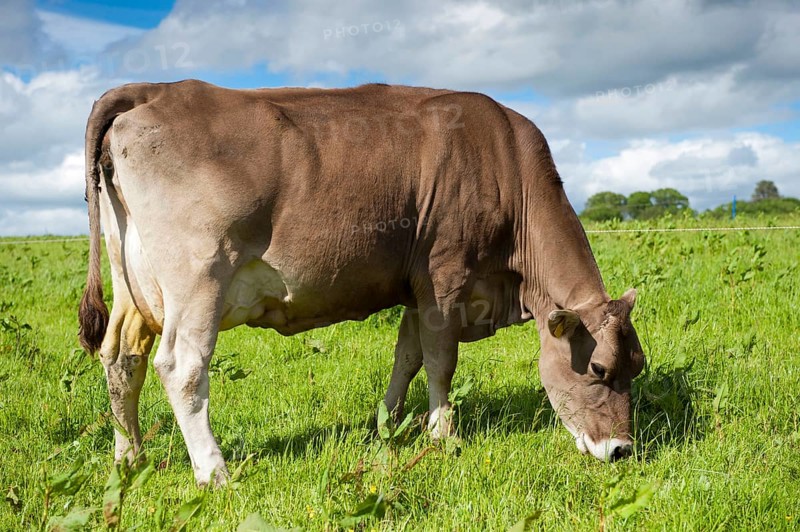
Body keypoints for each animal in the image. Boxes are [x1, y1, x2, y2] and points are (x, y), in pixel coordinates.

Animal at [78, 80, 644, 486]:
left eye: (637, 366)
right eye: (597, 368)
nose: (621, 450)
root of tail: (156, 89)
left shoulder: (415, 287)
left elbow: (408, 355)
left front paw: (386, 424)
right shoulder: (445, 276)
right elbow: (441, 360)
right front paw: (443, 437)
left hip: (131, 281)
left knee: (121, 357)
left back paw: (129, 457)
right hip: (198, 277)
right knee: (182, 366)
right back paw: (213, 471)